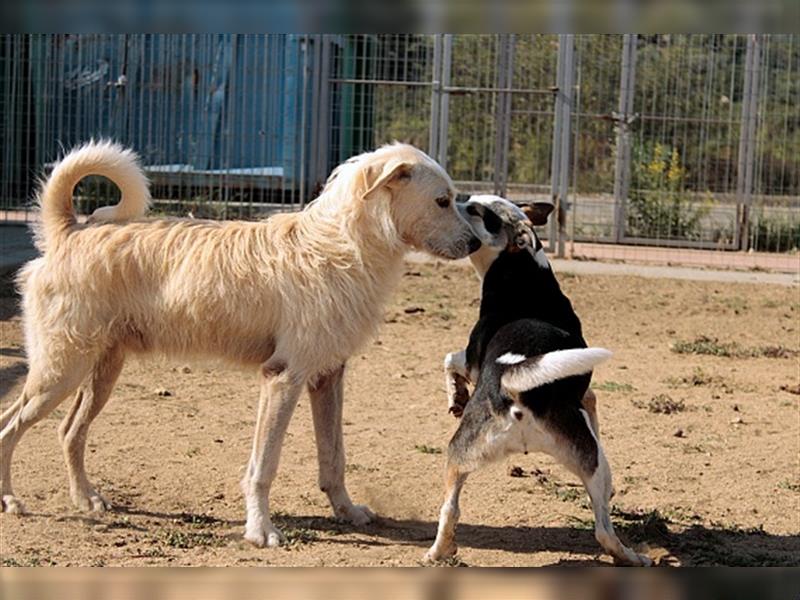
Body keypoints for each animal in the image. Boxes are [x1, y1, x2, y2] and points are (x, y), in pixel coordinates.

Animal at [0, 139, 478, 544]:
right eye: (443, 200)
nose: (476, 243)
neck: (342, 244)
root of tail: (69, 232)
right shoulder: (282, 377)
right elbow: (263, 467)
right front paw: (260, 530)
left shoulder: (327, 377)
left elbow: (334, 459)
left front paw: (346, 511)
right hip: (59, 372)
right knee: (10, 425)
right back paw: (11, 500)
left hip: (99, 372)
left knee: (69, 431)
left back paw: (86, 498)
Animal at [424, 197, 648, 568]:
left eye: (477, 210)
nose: (456, 198)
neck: (523, 273)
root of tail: (513, 386)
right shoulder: (585, 397)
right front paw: (456, 397)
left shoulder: (471, 360)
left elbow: (449, 359)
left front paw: (457, 397)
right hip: (595, 462)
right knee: (603, 528)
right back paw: (631, 557)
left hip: (459, 455)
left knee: (450, 509)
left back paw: (439, 552)